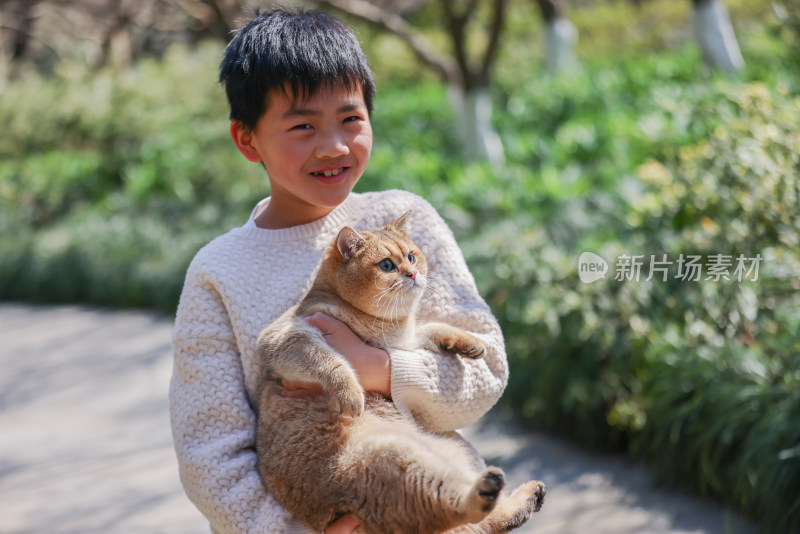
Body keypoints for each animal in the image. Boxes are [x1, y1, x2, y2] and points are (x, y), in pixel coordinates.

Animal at [256, 211, 544, 532]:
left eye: (411, 256)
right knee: (461, 509)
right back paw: (489, 491)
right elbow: (330, 360)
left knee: (488, 518)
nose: (413, 273)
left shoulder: (403, 342)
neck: (388, 326)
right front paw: (351, 394)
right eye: (386, 265)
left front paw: (468, 343)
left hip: (454, 450)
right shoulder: (284, 337)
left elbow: (430, 328)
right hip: (394, 460)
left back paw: (527, 495)